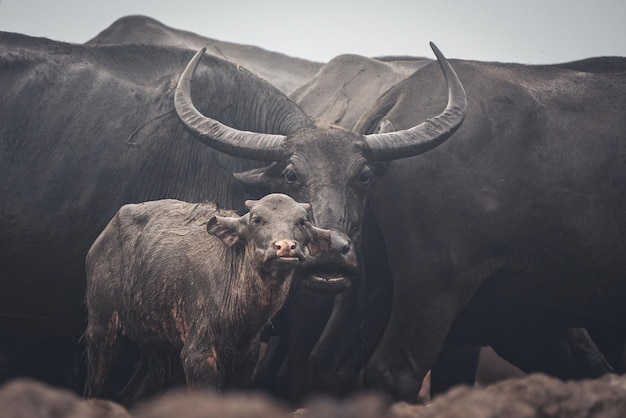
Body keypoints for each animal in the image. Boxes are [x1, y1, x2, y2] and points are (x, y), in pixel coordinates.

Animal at [84, 194, 346, 400]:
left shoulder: (246, 358)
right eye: (257, 220)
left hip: (158, 349)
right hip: (102, 330)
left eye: (301, 221)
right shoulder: (199, 356)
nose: (285, 247)